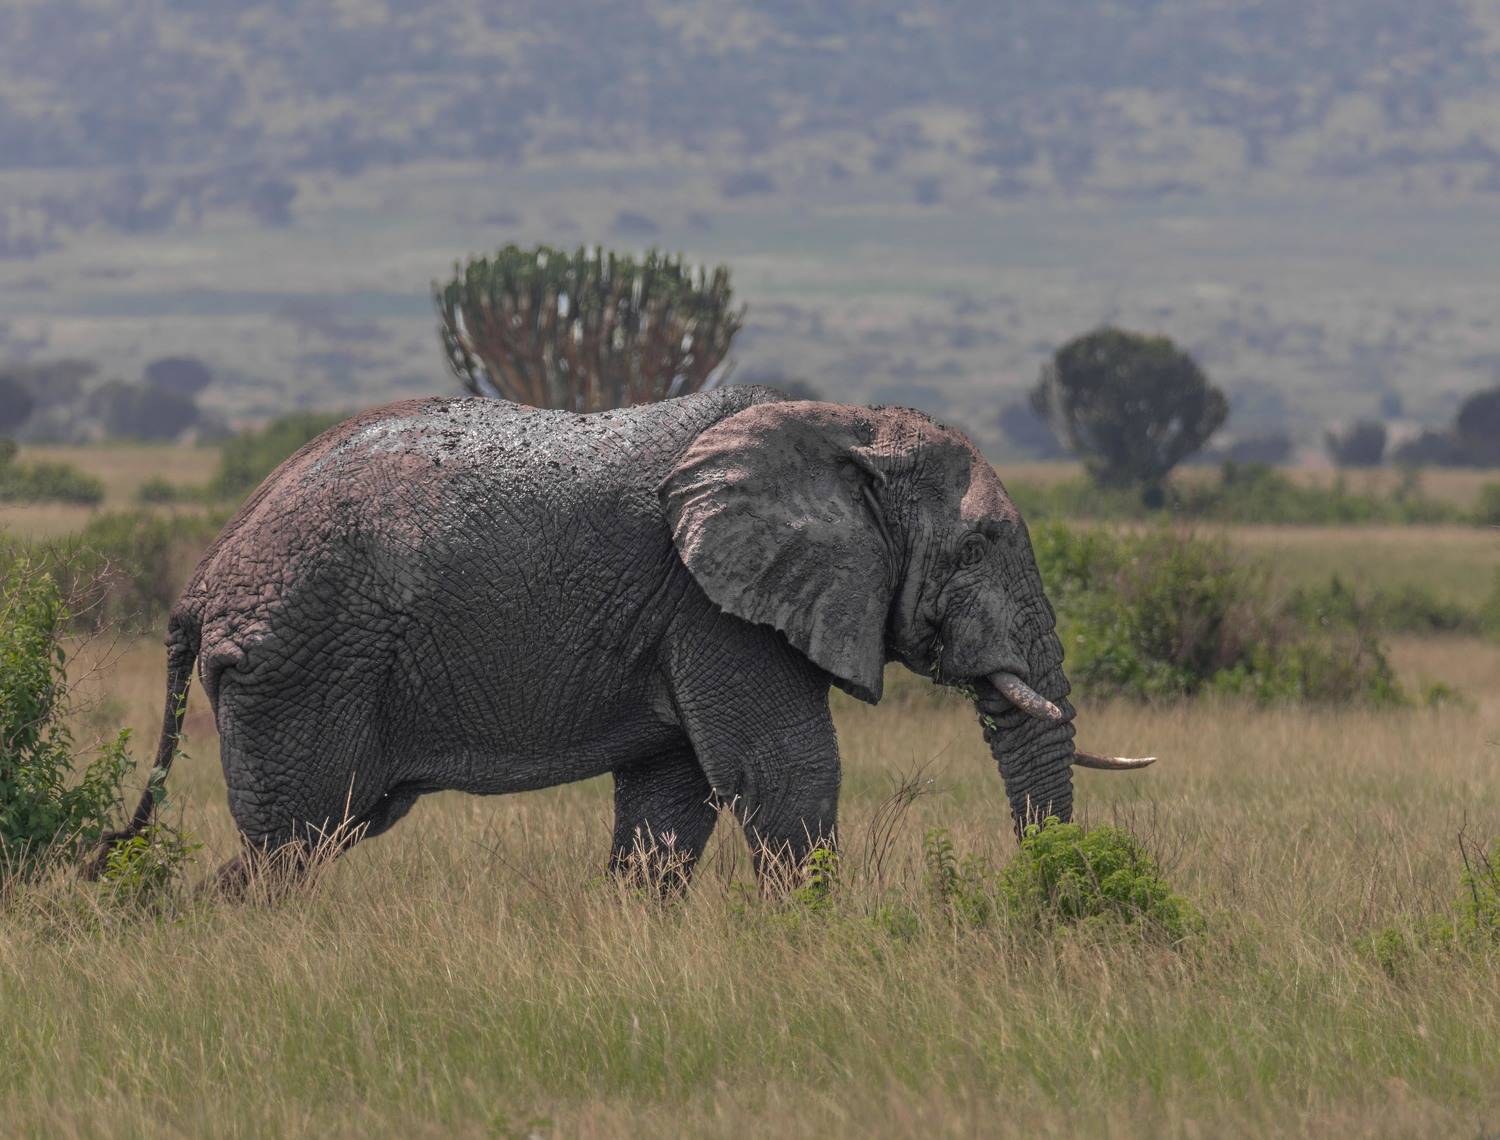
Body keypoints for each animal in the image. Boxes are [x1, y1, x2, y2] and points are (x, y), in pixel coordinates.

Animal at [100, 386, 1151, 890]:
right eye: (977, 547)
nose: (1050, 899)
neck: (843, 425)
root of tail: (201, 580)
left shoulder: (685, 616)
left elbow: (668, 806)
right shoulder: (712, 606)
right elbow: (784, 775)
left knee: (316, 832)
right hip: (305, 662)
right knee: (298, 837)